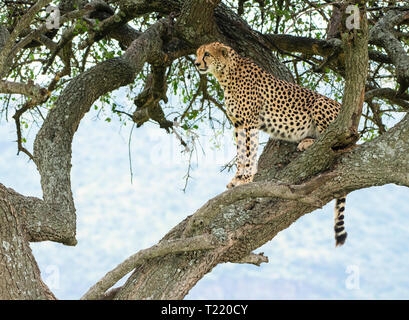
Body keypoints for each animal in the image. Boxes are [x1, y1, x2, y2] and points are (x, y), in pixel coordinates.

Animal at [195, 40, 348, 245]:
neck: (226, 74)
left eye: (207, 54)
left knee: (336, 137)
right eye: (197, 54)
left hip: (319, 103)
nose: (196, 64)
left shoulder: (250, 122)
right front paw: (237, 179)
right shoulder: (238, 123)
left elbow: (249, 152)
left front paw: (246, 179)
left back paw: (309, 142)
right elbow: (241, 154)